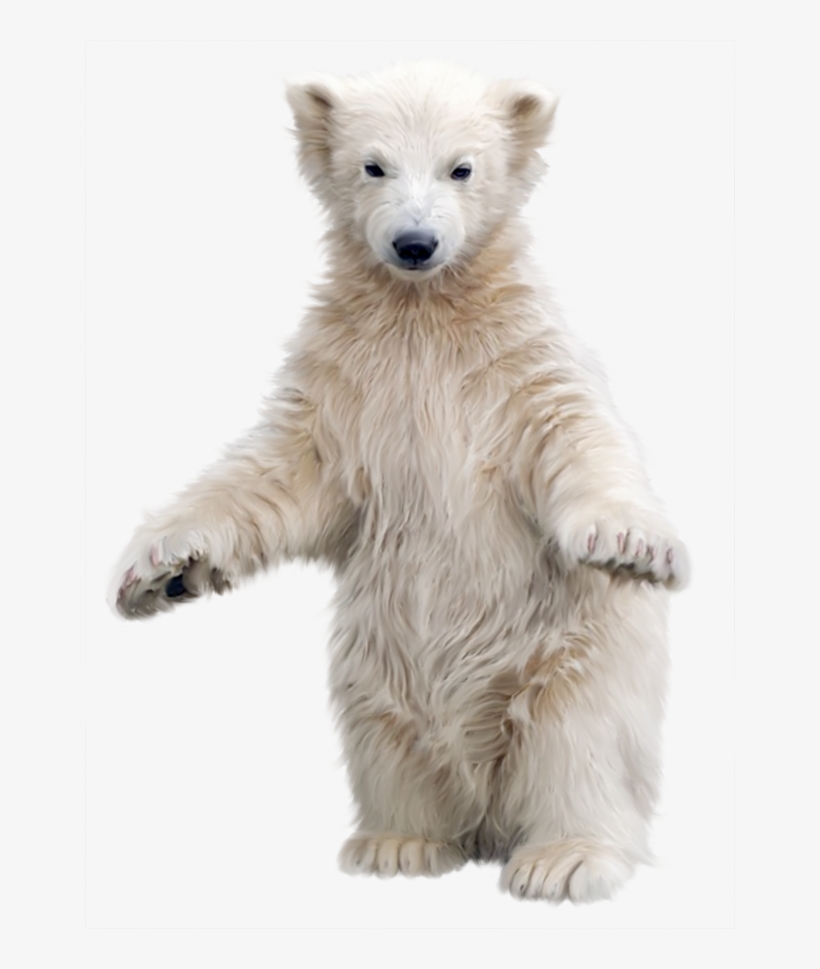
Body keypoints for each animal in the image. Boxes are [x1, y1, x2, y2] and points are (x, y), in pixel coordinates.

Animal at [108, 61, 689, 904]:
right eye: (373, 165)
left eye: (462, 168)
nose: (415, 243)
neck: (424, 310)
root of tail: (487, 811)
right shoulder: (346, 380)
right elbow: (280, 471)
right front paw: (162, 566)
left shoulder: (516, 361)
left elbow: (574, 435)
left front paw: (631, 542)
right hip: (375, 669)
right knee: (388, 738)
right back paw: (400, 842)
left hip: (570, 655)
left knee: (575, 741)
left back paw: (562, 857)